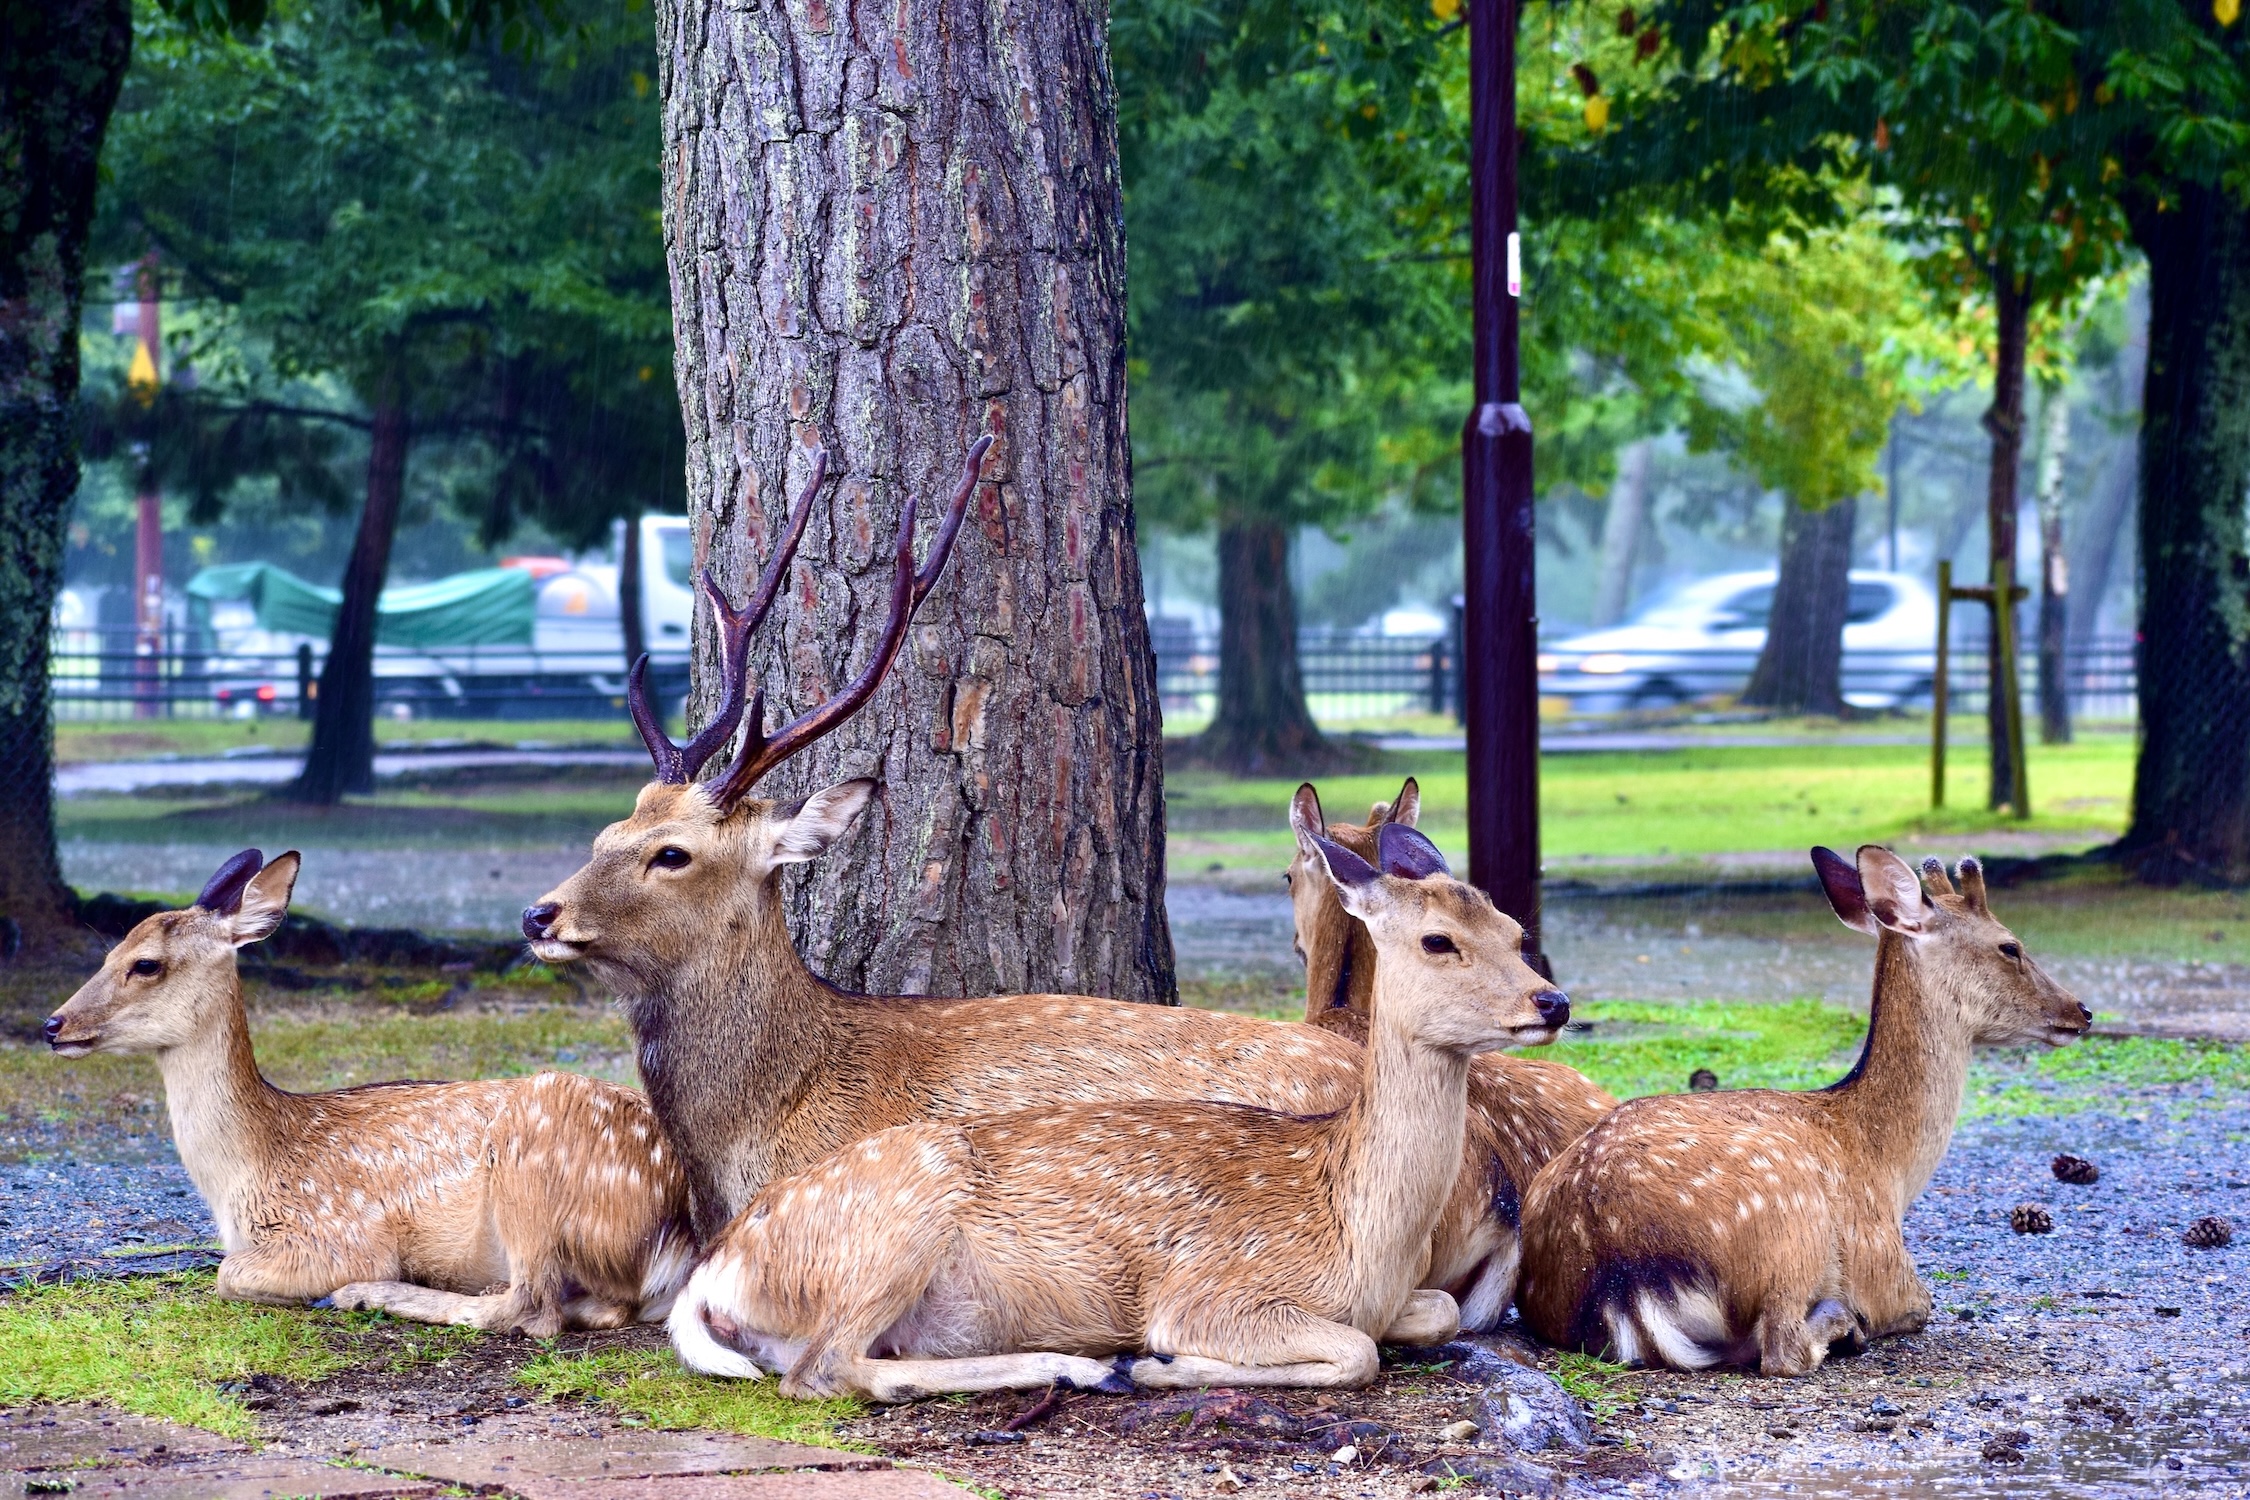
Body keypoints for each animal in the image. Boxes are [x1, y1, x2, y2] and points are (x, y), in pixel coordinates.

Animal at [46, 854, 693, 1340]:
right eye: (107, 952)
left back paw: (364, 1295)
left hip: (534, 1157)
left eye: (146, 964)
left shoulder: (335, 1236)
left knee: (531, 1308)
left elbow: (228, 1274)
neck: (245, 1174)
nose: (53, 1025)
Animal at [657, 832, 1557, 1412]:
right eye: (1438, 941)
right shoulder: (1213, 1290)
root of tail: (716, 1272)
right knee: (825, 1370)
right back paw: (1101, 1369)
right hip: (891, 1225)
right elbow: (1357, 1351)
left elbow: (1434, 1315)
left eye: (1517, 930)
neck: (1356, 1226)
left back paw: (1081, 1366)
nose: (1553, 1002)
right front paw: (1164, 1365)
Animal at [1512, 845, 2088, 1376]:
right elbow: (1923, 1305)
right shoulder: (1887, 1267)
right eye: (2010, 945)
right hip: (1789, 1234)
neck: (1891, 1168)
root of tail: (1618, 1277)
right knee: (1781, 1348)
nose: (2080, 1011)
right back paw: (1843, 1325)